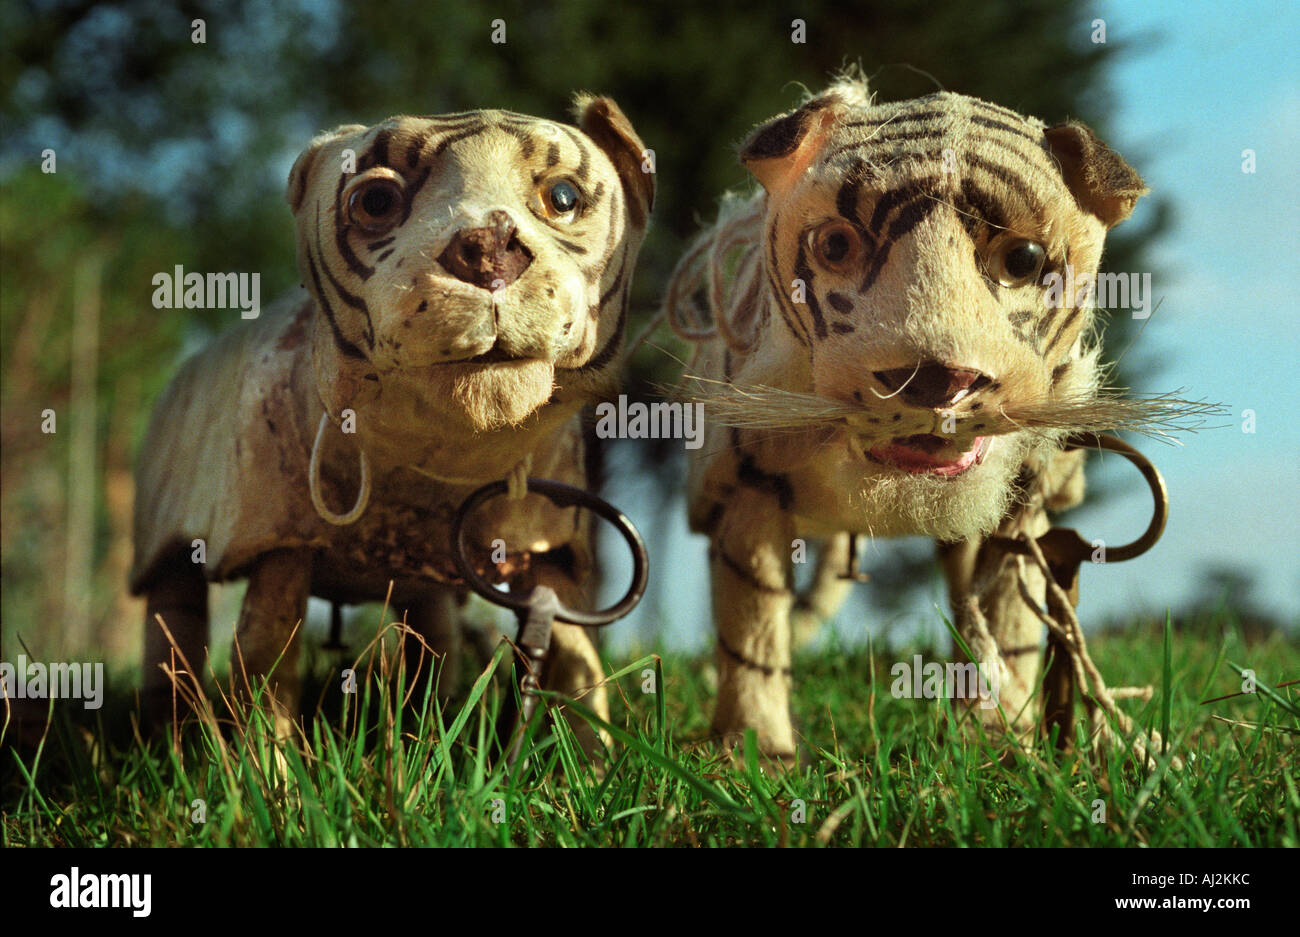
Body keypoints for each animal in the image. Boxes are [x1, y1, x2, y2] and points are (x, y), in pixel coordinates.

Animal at [130, 97, 654, 745]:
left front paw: (593, 757)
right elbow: (264, 665)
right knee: (171, 627)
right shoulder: (278, 544)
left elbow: (580, 666)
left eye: (563, 196)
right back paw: (164, 734)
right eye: (376, 201)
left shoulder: (552, 548)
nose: (488, 247)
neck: (432, 461)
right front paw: (269, 770)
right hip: (161, 552)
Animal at [664, 77, 1148, 759]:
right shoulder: (746, 487)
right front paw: (756, 754)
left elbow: (1008, 623)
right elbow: (752, 629)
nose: (936, 378)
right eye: (836, 244)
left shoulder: (1022, 504)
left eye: (1023, 260)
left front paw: (999, 740)